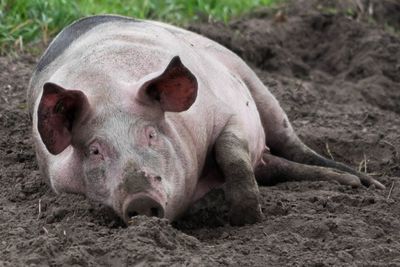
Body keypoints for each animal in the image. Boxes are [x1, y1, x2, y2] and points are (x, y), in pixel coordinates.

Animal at [27, 15, 384, 226]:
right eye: (95, 150)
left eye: (151, 135)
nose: (140, 198)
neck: (107, 88)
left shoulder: (228, 112)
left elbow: (230, 153)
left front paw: (246, 218)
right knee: (277, 165)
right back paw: (356, 184)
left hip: (250, 78)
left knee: (291, 144)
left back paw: (370, 185)